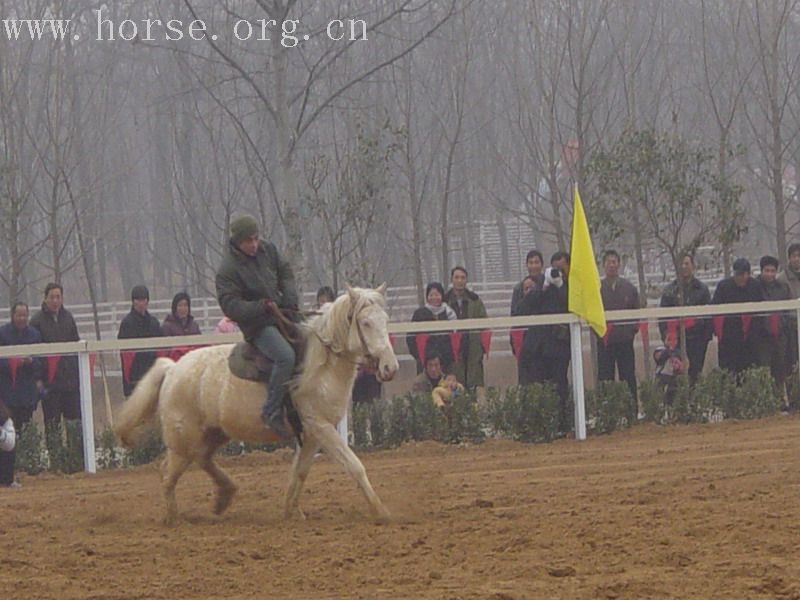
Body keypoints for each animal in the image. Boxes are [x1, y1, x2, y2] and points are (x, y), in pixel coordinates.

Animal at [115, 286, 396, 524]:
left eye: (385, 319)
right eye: (365, 322)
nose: (390, 368)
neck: (319, 365)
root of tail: (173, 370)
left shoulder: (313, 435)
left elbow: (299, 473)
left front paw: (291, 512)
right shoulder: (321, 427)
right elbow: (355, 466)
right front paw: (381, 511)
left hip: (213, 434)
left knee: (202, 459)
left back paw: (225, 495)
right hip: (183, 442)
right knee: (167, 474)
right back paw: (174, 518)